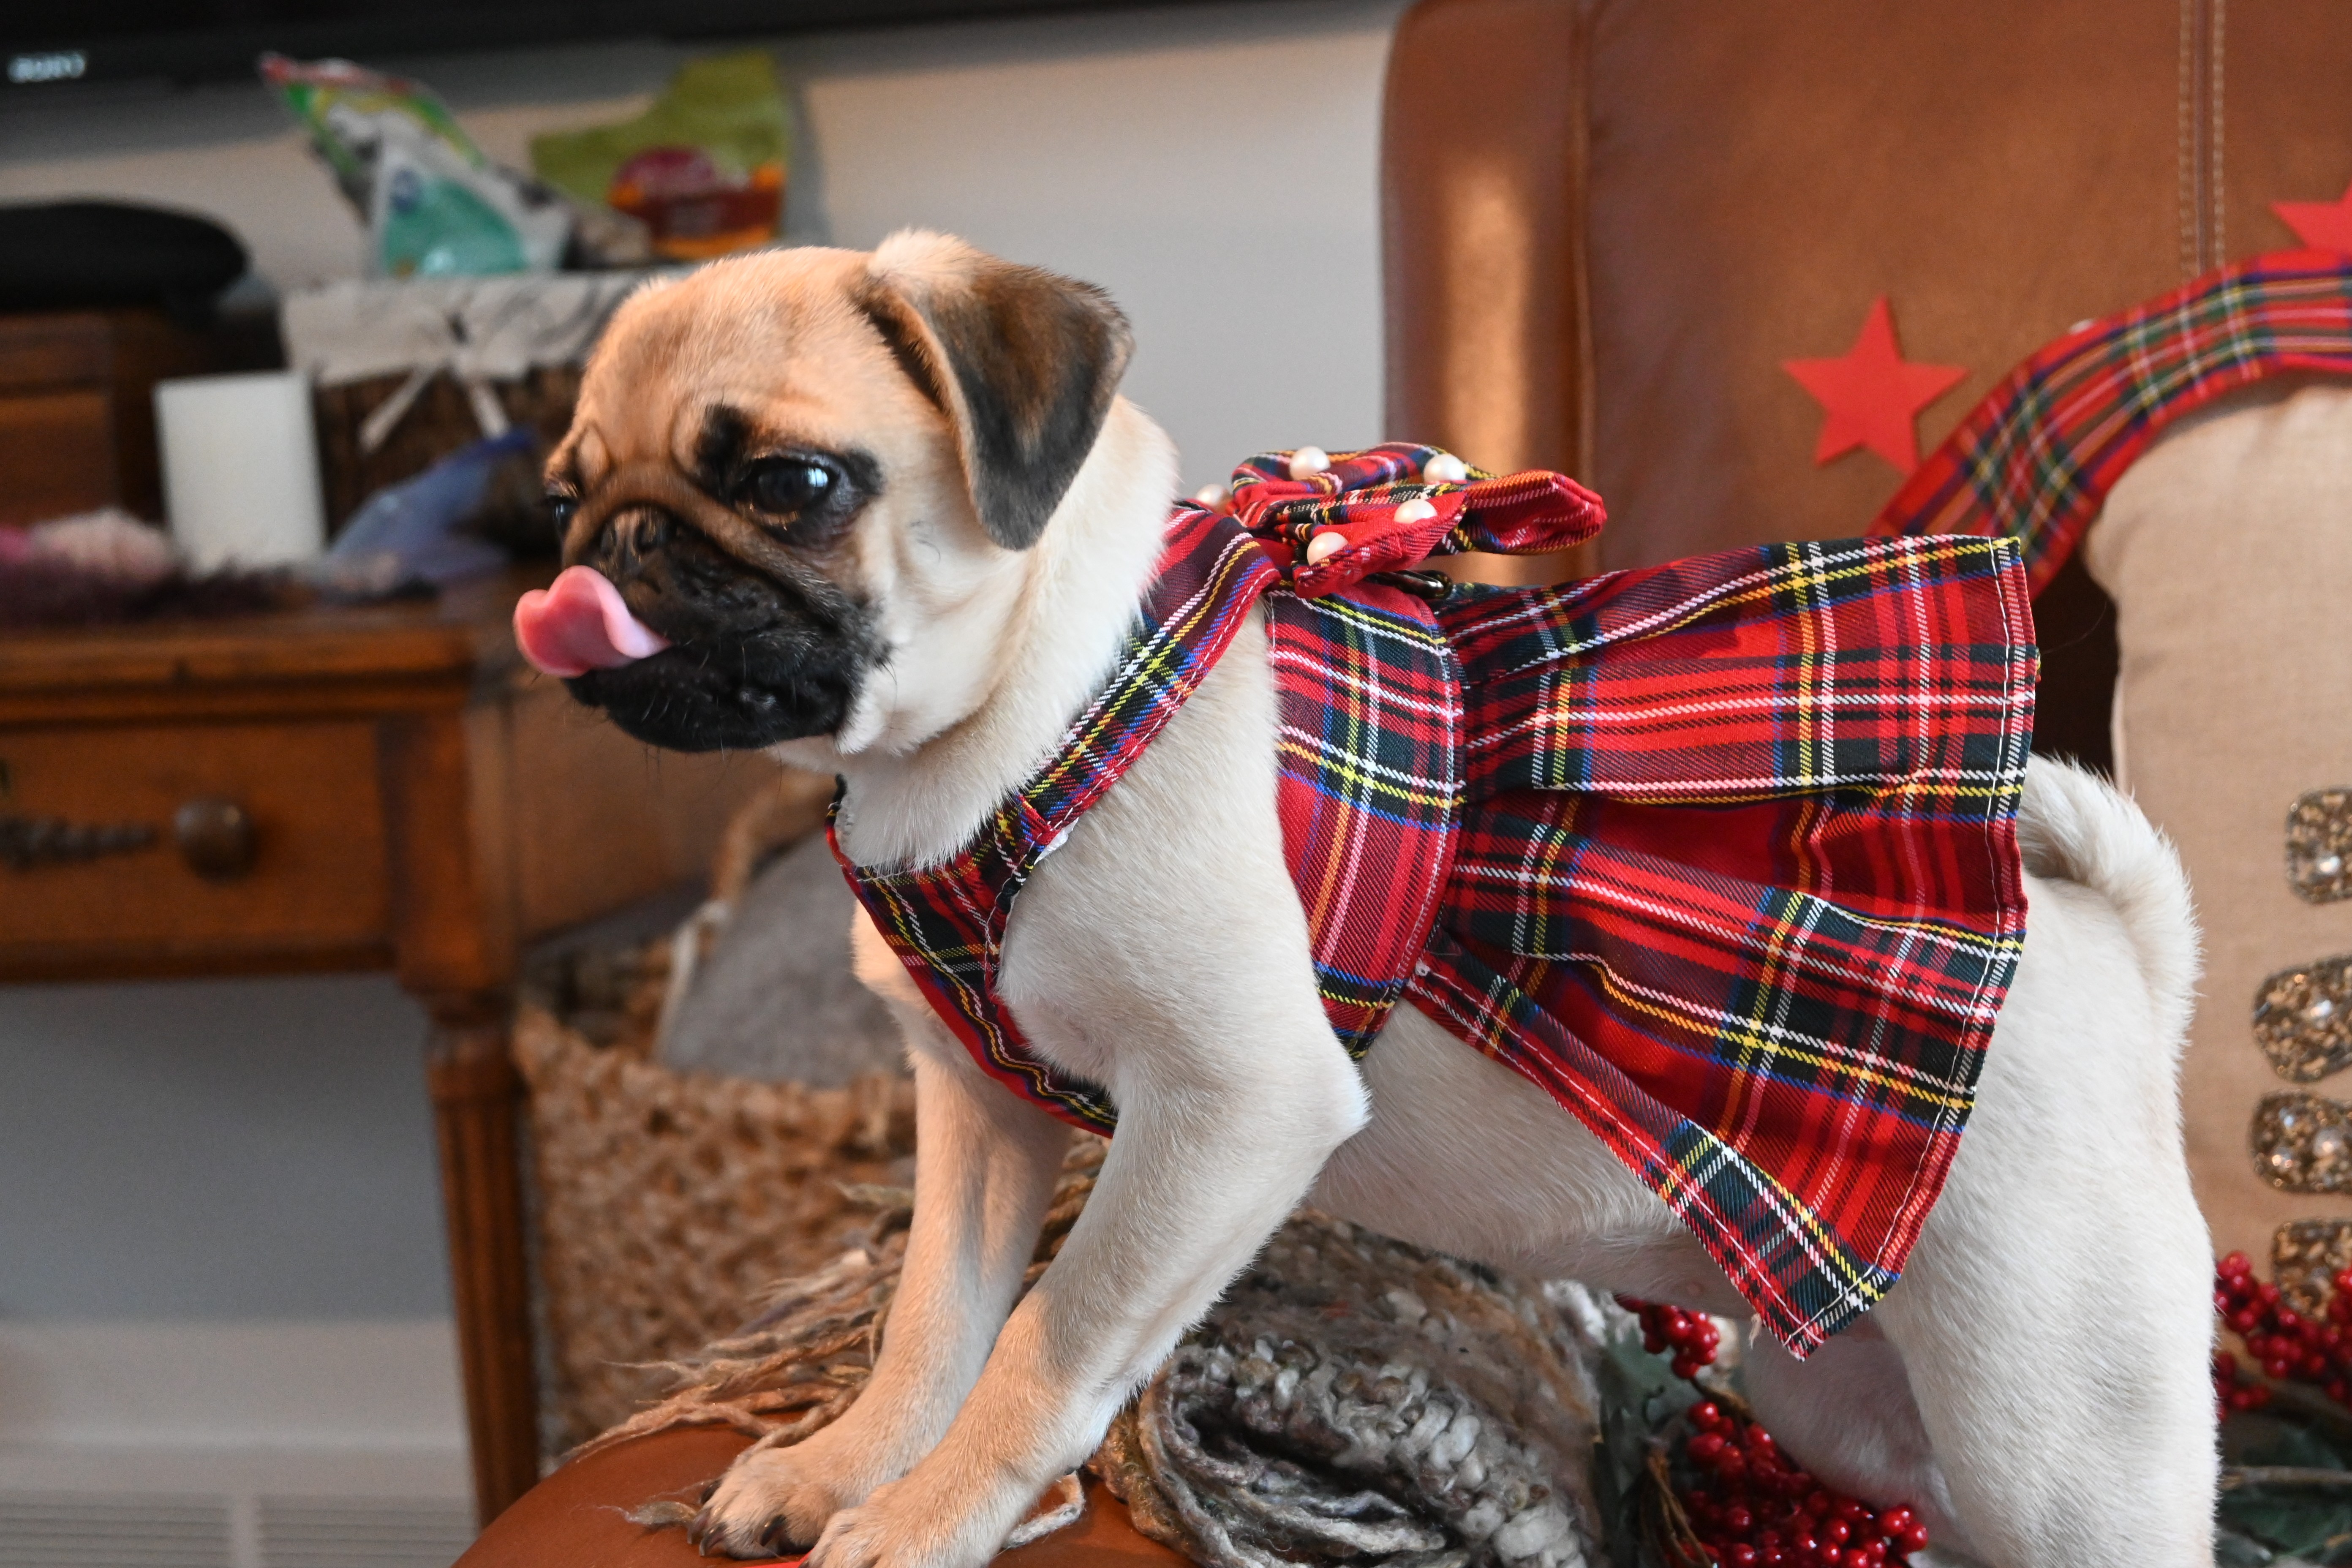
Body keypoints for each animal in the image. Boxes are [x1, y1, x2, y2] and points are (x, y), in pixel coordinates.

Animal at [521, 232, 2216, 1568]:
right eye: (561, 494)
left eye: (790, 484)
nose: (614, 545)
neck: (1020, 714)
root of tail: (2115, 960)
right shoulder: (981, 1118)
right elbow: (935, 1318)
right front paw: (845, 1466)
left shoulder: (1227, 1109)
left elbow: (1045, 1341)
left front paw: (931, 1519)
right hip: (1842, 1402)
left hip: (2056, 1430)